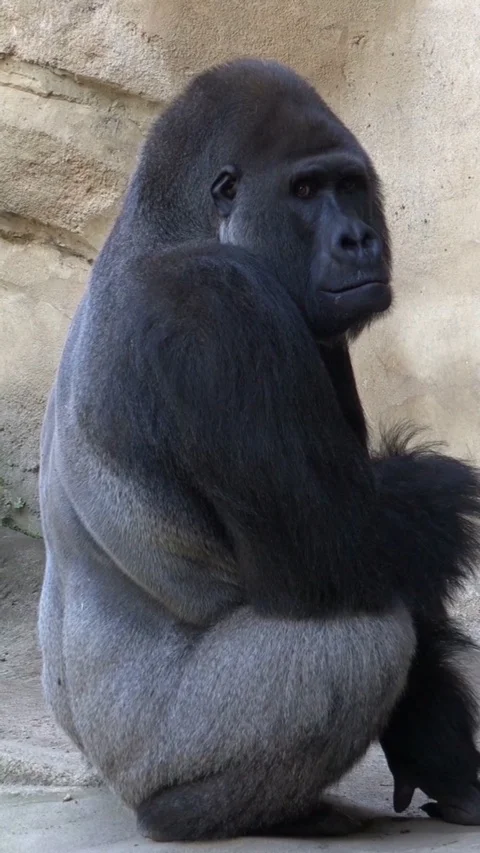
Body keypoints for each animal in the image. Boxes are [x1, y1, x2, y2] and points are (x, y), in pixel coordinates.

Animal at [38, 58, 480, 841]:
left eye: (349, 185)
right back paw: (200, 812)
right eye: (304, 192)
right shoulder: (216, 304)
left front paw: (440, 748)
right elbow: (348, 549)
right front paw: (436, 490)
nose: (358, 240)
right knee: (360, 639)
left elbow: (387, 556)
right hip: (154, 754)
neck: (173, 228)